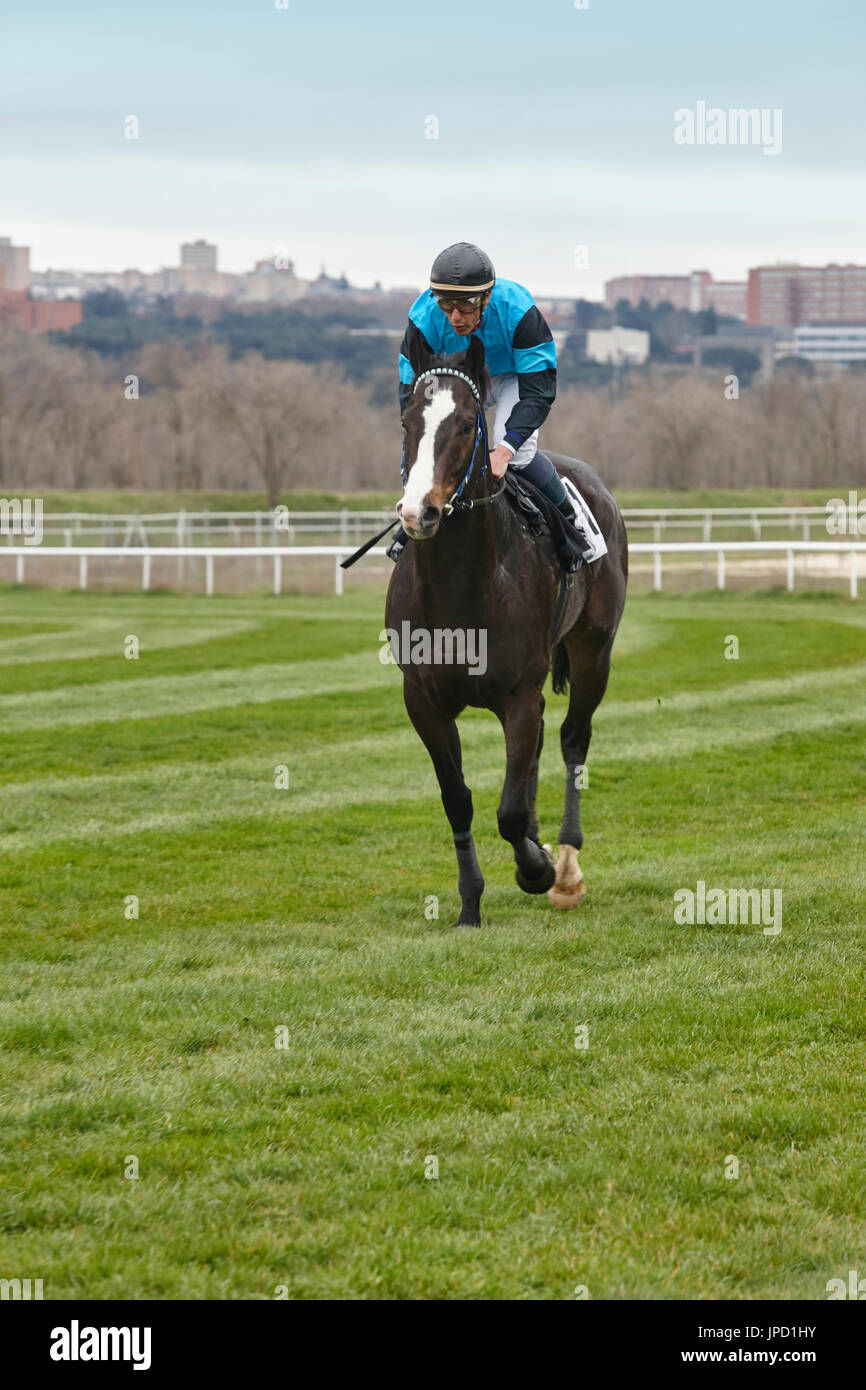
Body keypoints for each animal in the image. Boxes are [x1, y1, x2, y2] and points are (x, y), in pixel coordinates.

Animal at [384, 332, 628, 928]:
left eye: (466, 425)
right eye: (407, 421)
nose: (419, 512)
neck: (459, 588)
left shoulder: (517, 694)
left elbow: (511, 810)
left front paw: (537, 868)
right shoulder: (422, 699)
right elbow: (458, 799)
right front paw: (470, 902)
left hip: (594, 651)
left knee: (572, 738)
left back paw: (566, 866)